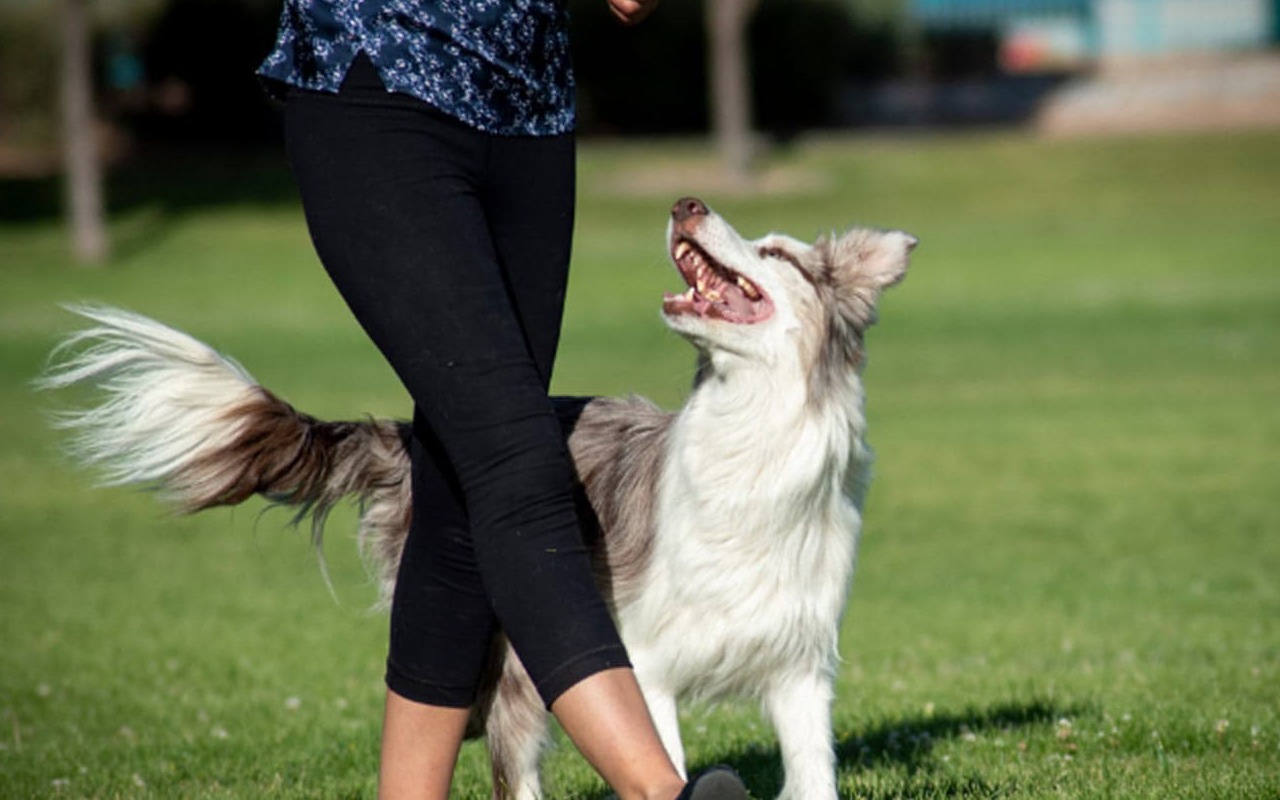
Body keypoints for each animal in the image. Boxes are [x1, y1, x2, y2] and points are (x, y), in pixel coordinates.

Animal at [42, 194, 921, 798]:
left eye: (775, 251)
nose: (686, 202)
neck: (753, 434)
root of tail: (419, 438)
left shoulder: (800, 671)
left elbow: (814, 777)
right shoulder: (644, 663)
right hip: (507, 656)